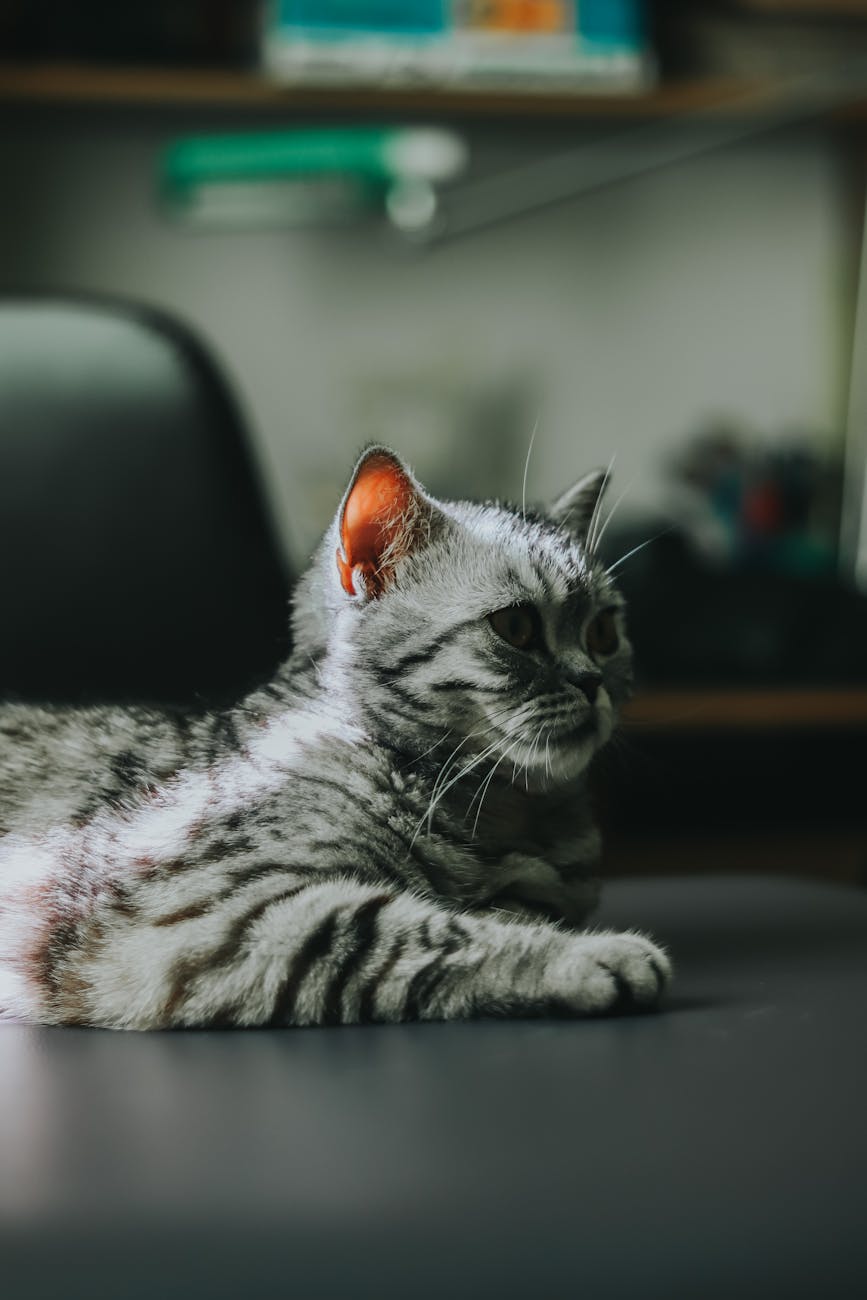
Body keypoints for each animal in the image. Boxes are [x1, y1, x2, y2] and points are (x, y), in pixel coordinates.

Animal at [0, 444, 670, 1024]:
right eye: (516, 627)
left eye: (605, 633)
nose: (592, 681)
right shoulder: (209, 921)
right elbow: (420, 931)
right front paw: (589, 955)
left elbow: (511, 909)